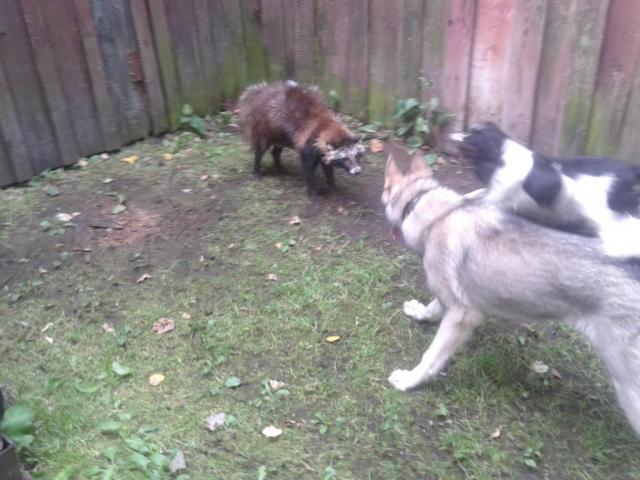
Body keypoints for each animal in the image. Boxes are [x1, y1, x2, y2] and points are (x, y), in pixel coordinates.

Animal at [382, 149, 640, 436]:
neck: (436, 212)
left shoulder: (463, 315)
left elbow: (430, 357)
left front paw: (409, 380)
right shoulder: (451, 298)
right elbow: (433, 306)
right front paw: (419, 313)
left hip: (628, 389)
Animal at [451, 122, 640, 257]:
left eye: (471, 137)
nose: (451, 135)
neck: (499, 155)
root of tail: (629, 171)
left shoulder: (497, 199)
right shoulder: (492, 193)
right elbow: (470, 195)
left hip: (605, 217)